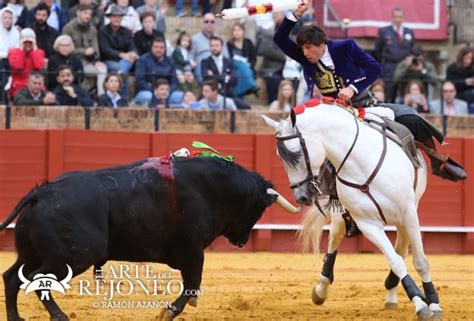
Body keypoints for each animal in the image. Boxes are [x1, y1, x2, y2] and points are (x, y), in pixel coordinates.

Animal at [0, 156, 296, 318]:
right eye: (259, 208)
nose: (241, 241)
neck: (210, 187)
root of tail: (41, 192)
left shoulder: (189, 253)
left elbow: (192, 285)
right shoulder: (192, 251)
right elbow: (192, 284)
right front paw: (168, 312)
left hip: (31, 254)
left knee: (12, 277)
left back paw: (17, 318)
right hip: (72, 258)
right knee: (38, 280)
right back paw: (61, 317)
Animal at [264, 103, 442, 320]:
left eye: (296, 154)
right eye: (280, 157)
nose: (301, 197)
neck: (362, 164)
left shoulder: (408, 213)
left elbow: (420, 261)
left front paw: (432, 303)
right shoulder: (368, 224)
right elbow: (396, 261)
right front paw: (420, 304)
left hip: (407, 213)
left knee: (401, 246)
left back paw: (392, 296)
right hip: (341, 217)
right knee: (335, 242)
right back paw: (321, 290)